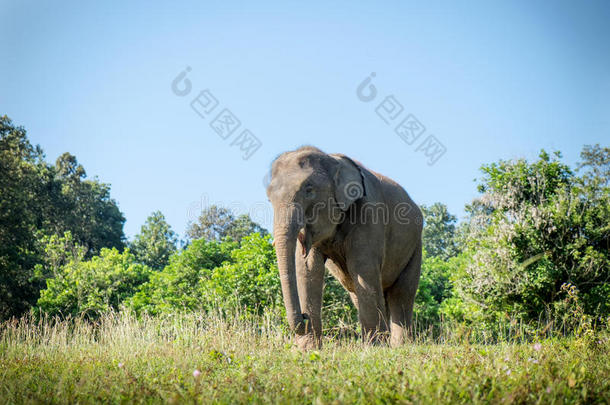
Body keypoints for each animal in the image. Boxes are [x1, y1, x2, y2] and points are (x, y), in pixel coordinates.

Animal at [266, 145, 422, 348]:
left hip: (415, 245)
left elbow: (363, 268)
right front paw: (306, 350)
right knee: (359, 291)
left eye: (309, 190)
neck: (332, 160)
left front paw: (374, 349)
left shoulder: (369, 214)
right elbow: (308, 270)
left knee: (402, 293)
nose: (304, 316)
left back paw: (399, 346)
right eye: (269, 199)